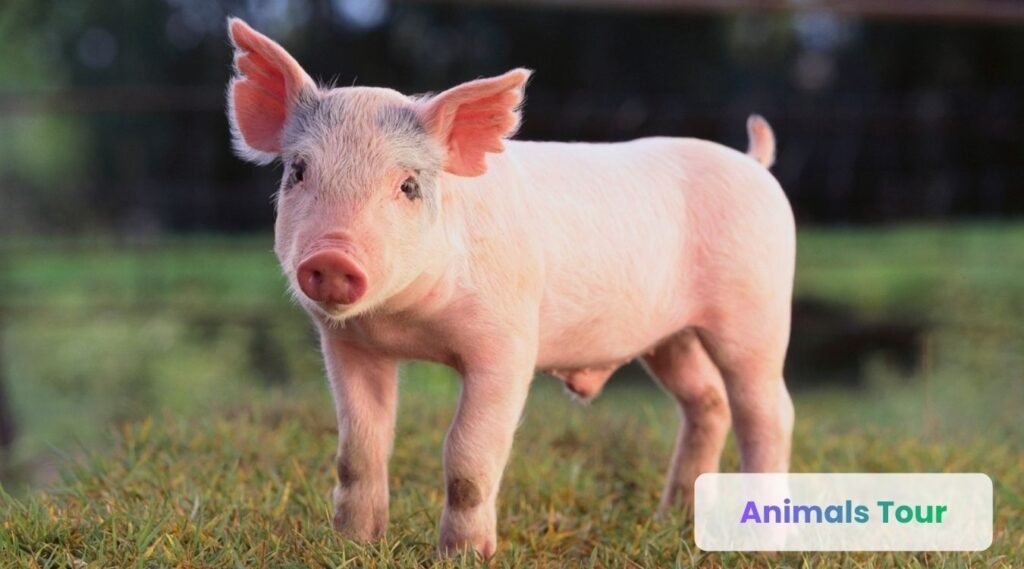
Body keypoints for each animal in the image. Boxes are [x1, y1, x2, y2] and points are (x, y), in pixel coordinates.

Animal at [226, 18, 795, 558]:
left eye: (408, 185)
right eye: (298, 172)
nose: (331, 257)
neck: (409, 322)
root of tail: (754, 164)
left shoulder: (508, 345)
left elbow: (467, 454)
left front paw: (463, 555)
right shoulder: (348, 345)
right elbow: (359, 449)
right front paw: (352, 545)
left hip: (757, 309)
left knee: (766, 410)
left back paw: (760, 543)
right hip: (670, 337)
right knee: (707, 401)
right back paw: (670, 517)